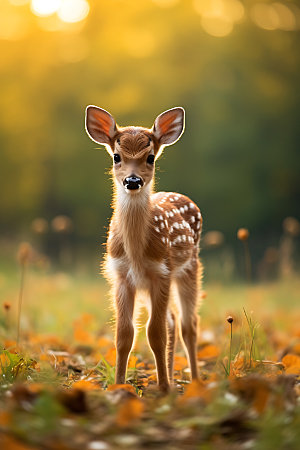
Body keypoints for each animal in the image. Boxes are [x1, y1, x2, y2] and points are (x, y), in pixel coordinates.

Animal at [84, 107, 203, 392]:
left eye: (150, 157)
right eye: (116, 156)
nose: (132, 180)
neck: (136, 252)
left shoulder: (161, 272)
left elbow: (154, 333)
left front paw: (163, 390)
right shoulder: (121, 276)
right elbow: (124, 334)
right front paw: (119, 387)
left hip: (189, 267)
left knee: (188, 324)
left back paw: (193, 381)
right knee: (172, 320)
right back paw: (172, 376)